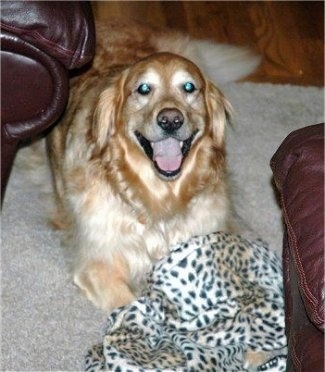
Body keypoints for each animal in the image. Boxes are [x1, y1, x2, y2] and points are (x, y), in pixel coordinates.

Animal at [46, 21, 260, 310]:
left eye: (189, 87)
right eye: (144, 89)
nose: (170, 120)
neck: (159, 199)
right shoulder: (98, 264)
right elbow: (129, 307)